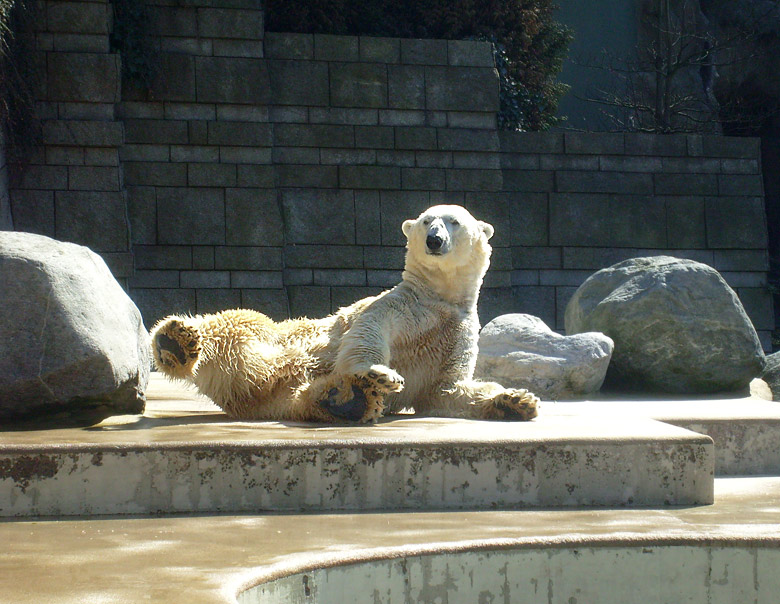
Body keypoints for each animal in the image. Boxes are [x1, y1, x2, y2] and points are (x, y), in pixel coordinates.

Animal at [153, 205, 544, 422]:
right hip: (274, 335)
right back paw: (177, 341)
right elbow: (369, 327)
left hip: (275, 395)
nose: (434, 239)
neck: (440, 297)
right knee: (239, 321)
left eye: (454, 222)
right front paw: (381, 373)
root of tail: (256, 379)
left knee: (299, 398)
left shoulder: (458, 329)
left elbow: (445, 390)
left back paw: (346, 400)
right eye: (425, 222)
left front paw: (516, 402)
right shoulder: (405, 305)